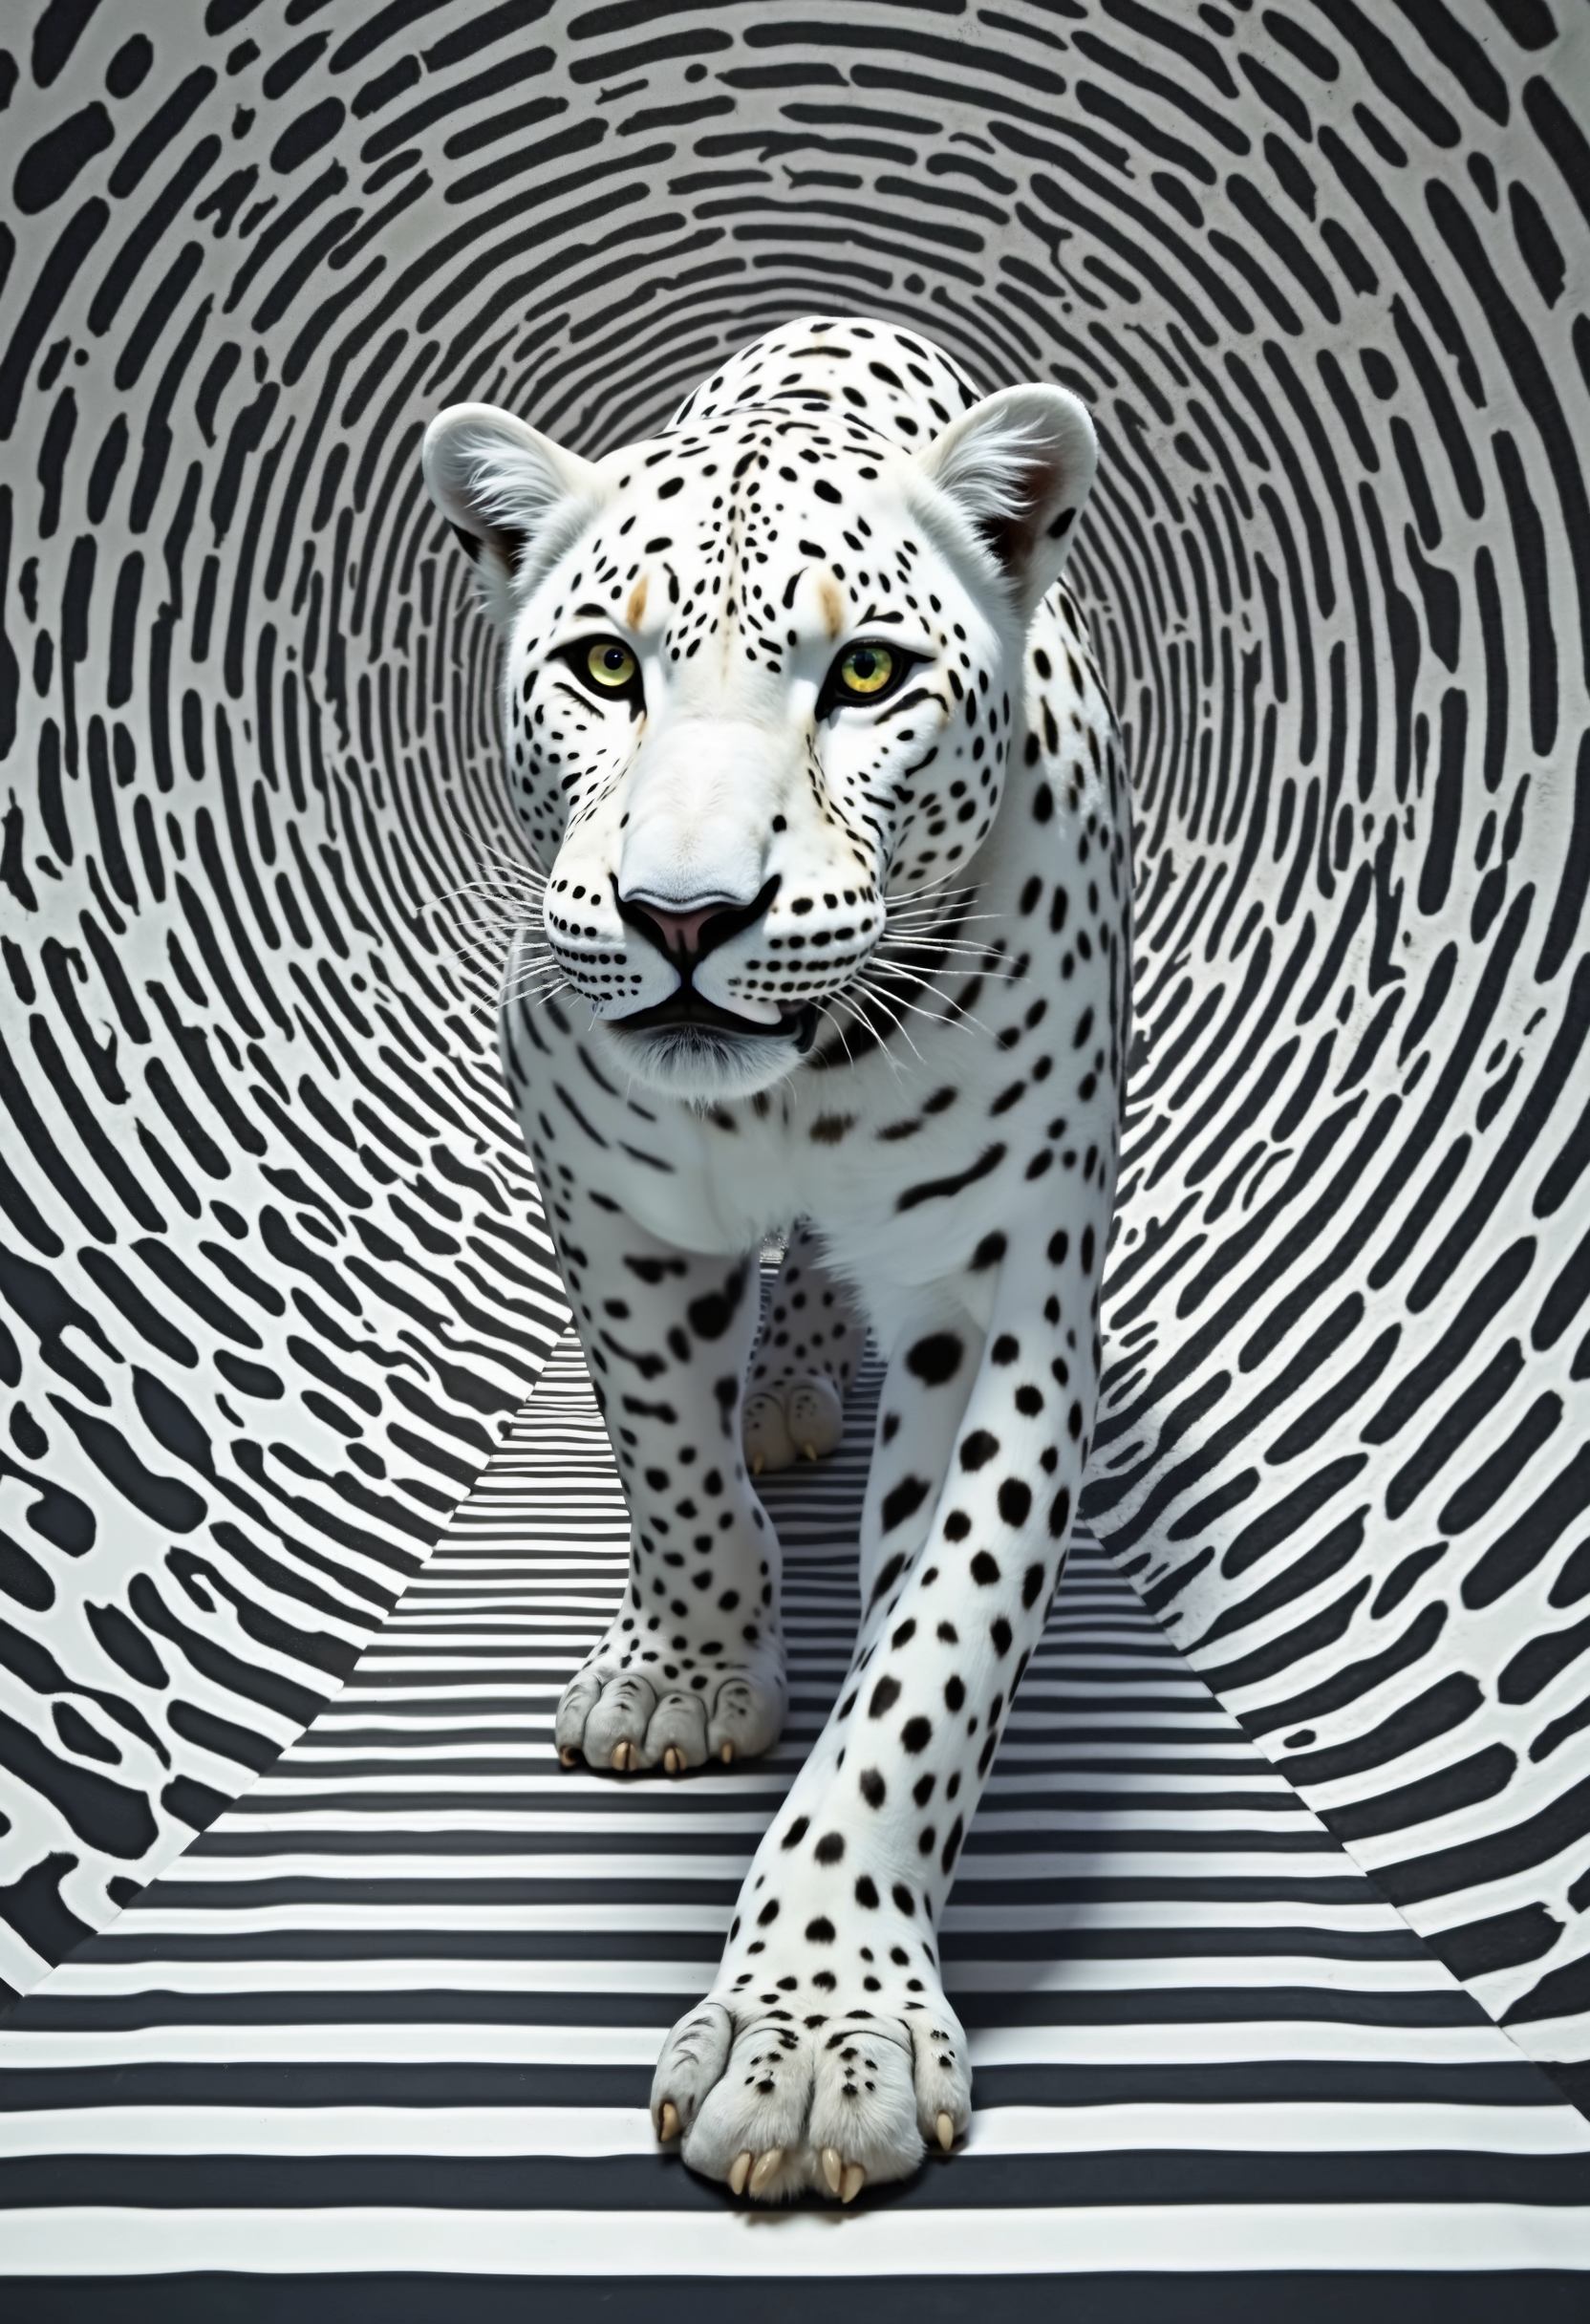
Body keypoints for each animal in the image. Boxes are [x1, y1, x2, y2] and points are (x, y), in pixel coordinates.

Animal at [422, 315, 1132, 2206]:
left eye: (867, 676)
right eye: (605, 664)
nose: (683, 917)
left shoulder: (1002, 1294)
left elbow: (928, 1664)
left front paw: (814, 2035)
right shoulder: (600, 1188)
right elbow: (663, 1459)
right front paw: (684, 1674)